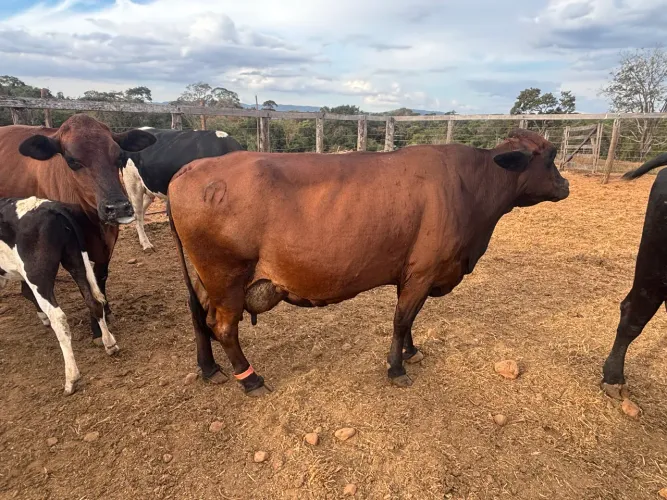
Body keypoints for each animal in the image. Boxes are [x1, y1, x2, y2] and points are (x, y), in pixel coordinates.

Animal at [0, 114, 156, 344]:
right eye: (72, 161)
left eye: (119, 156)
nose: (118, 208)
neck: (94, 222)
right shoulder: (74, 249)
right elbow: (87, 289)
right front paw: (98, 328)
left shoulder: (107, 245)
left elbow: (100, 279)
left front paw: (107, 311)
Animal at [0, 196, 120, 395]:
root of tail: (51, 207)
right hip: (75, 260)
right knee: (94, 302)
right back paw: (109, 343)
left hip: (37, 274)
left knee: (59, 318)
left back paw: (71, 378)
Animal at [167, 128, 570, 396]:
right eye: (550, 156)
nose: (566, 185)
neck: (471, 187)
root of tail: (189, 170)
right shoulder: (423, 271)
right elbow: (401, 318)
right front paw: (396, 367)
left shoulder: (413, 274)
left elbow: (410, 318)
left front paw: (411, 352)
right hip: (227, 276)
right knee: (223, 327)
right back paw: (250, 379)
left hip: (207, 279)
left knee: (197, 314)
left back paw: (209, 368)